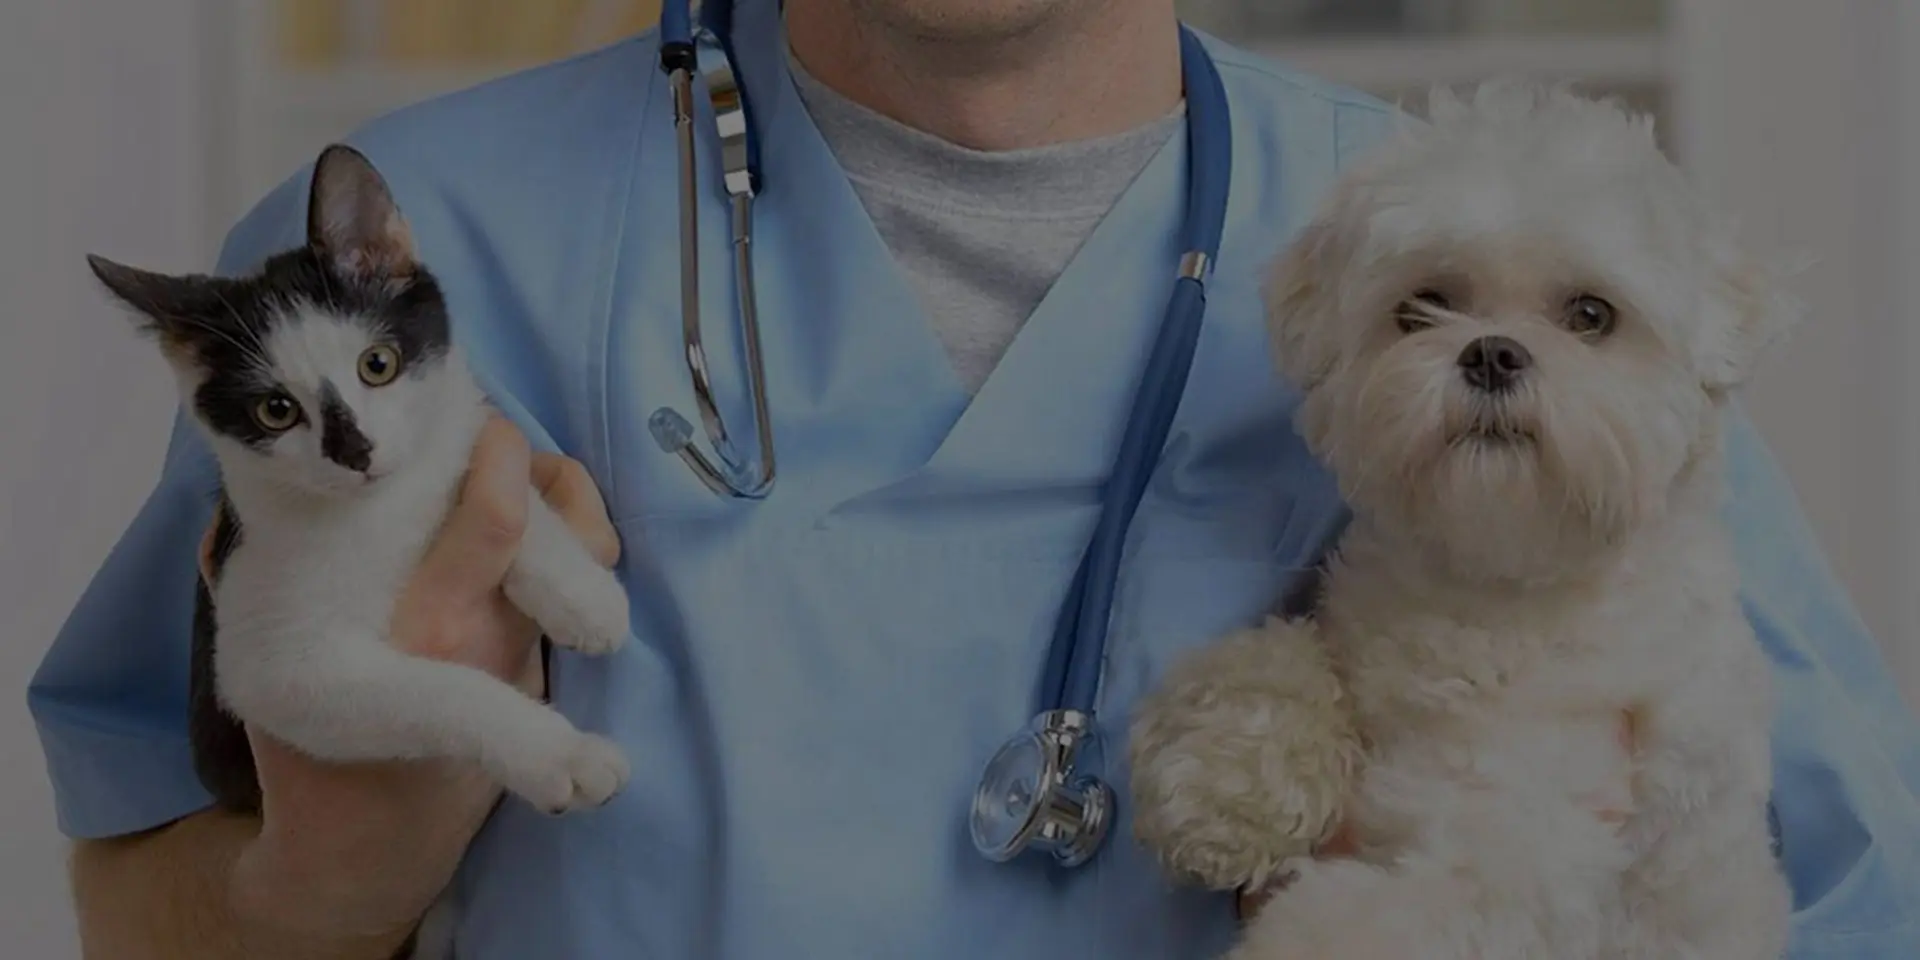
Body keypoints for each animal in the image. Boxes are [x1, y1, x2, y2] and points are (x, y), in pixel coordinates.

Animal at [88, 142, 629, 848]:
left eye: (378, 365)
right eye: (276, 411)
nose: (357, 452)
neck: (384, 509)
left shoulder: (456, 431)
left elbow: (491, 479)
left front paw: (582, 593)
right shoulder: (271, 666)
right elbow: (439, 691)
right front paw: (555, 753)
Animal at [1121, 84, 1797, 960]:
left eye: (1591, 314)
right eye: (1425, 305)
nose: (1492, 354)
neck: (1495, 586)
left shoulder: (1542, 849)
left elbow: (1389, 915)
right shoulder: (1351, 632)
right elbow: (1269, 661)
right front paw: (1221, 787)